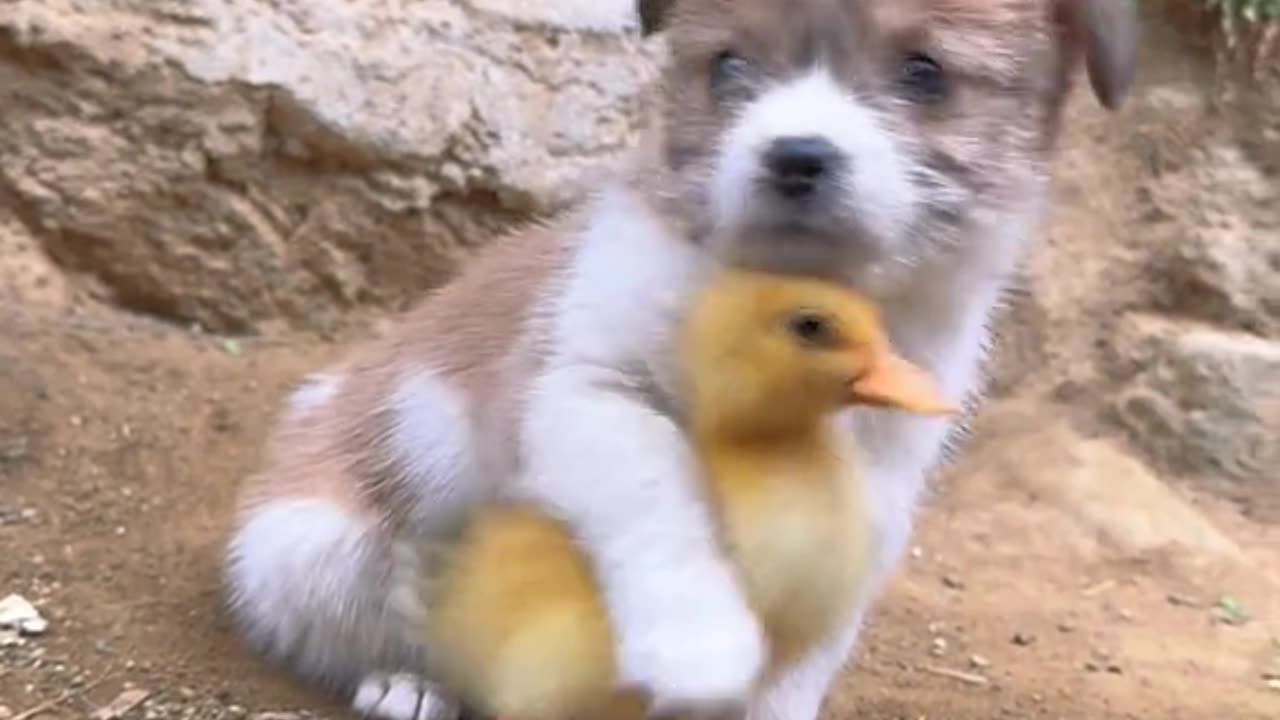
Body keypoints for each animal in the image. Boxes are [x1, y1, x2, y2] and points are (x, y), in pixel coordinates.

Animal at [222, 1, 1141, 717]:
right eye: (728, 66)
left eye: (926, 73)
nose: (795, 156)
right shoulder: (588, 391)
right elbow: (661, 498)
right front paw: (698, 641)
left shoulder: (876, 493)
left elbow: (810, 648)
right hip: (312, 548)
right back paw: (410, 683)